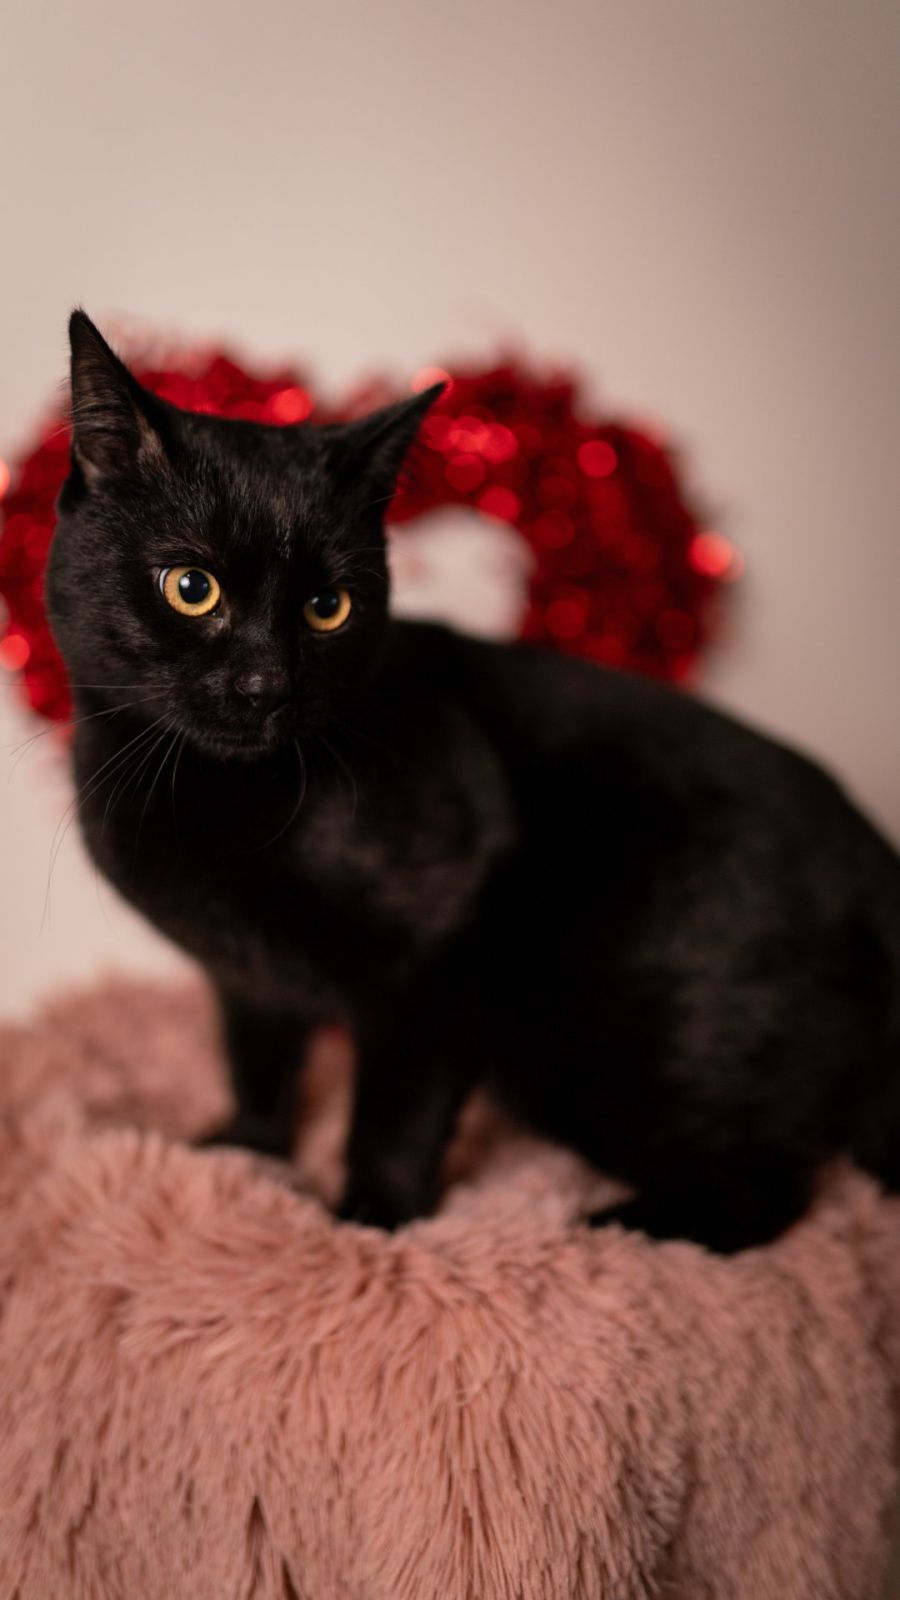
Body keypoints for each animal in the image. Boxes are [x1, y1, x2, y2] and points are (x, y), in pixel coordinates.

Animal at [45, 310, 900, 1252]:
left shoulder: (439, 954)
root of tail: (876, 861)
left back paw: (611, 1227)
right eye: (191, 587)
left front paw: (367, 1229)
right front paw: (243, 1155)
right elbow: (258, 1064)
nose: (266, 683)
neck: (228, 800)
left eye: (328, 608)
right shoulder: (246, 978)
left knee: (771, 1189)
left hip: (601, 1039)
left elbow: (396, 1113)